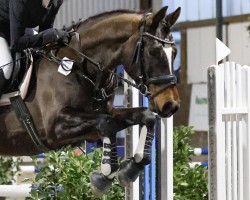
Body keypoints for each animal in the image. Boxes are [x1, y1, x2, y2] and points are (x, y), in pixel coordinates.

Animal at [0, 5, 181, 195]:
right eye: (153, 52)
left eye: (175, 52)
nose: (170, 105)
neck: (78, 66)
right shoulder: (53, 129)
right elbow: (107, 123)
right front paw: (105, 177)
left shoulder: (101, 117)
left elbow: (146, 116)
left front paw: (131, 168)